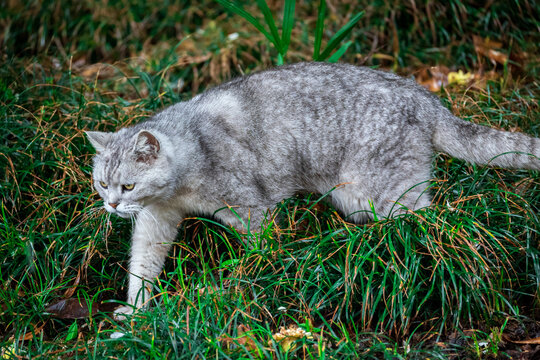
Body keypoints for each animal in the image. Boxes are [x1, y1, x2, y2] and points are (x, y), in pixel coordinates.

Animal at [84, 62, 540, 318]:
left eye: (128, 185)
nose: (112, 205)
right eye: (102, 183)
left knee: (428, 219)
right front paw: (134, 312)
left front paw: (249, 280)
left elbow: (260, 249)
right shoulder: (155, 221)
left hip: (377, 191)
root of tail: (425, 96)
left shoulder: (251, 207)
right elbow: (142, 265)